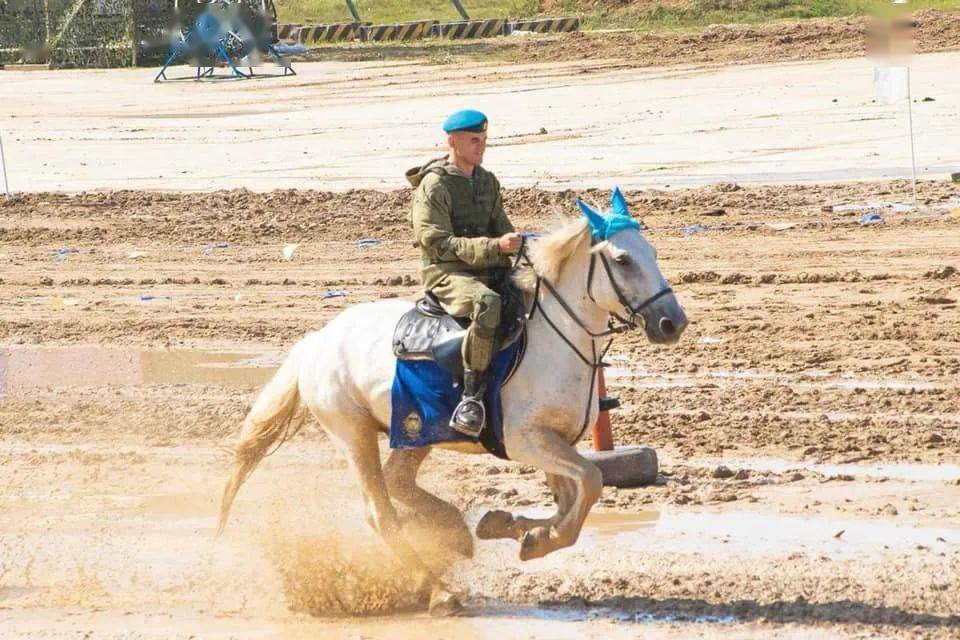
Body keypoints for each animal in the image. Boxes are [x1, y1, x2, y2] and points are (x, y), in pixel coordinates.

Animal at [219, 199, 684, 616]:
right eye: (622, 259)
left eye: (654, 253)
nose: (672, 323)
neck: (555, 340)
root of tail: (316, 341)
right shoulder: (526, 440)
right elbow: (590, 481)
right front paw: (532, 536)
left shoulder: (557, 441)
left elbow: (574, 498)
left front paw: (517, 529)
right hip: (353, 435)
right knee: (380, 513)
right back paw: (438, 592)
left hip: (416, 432)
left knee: (399, 481)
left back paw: (456, 532)